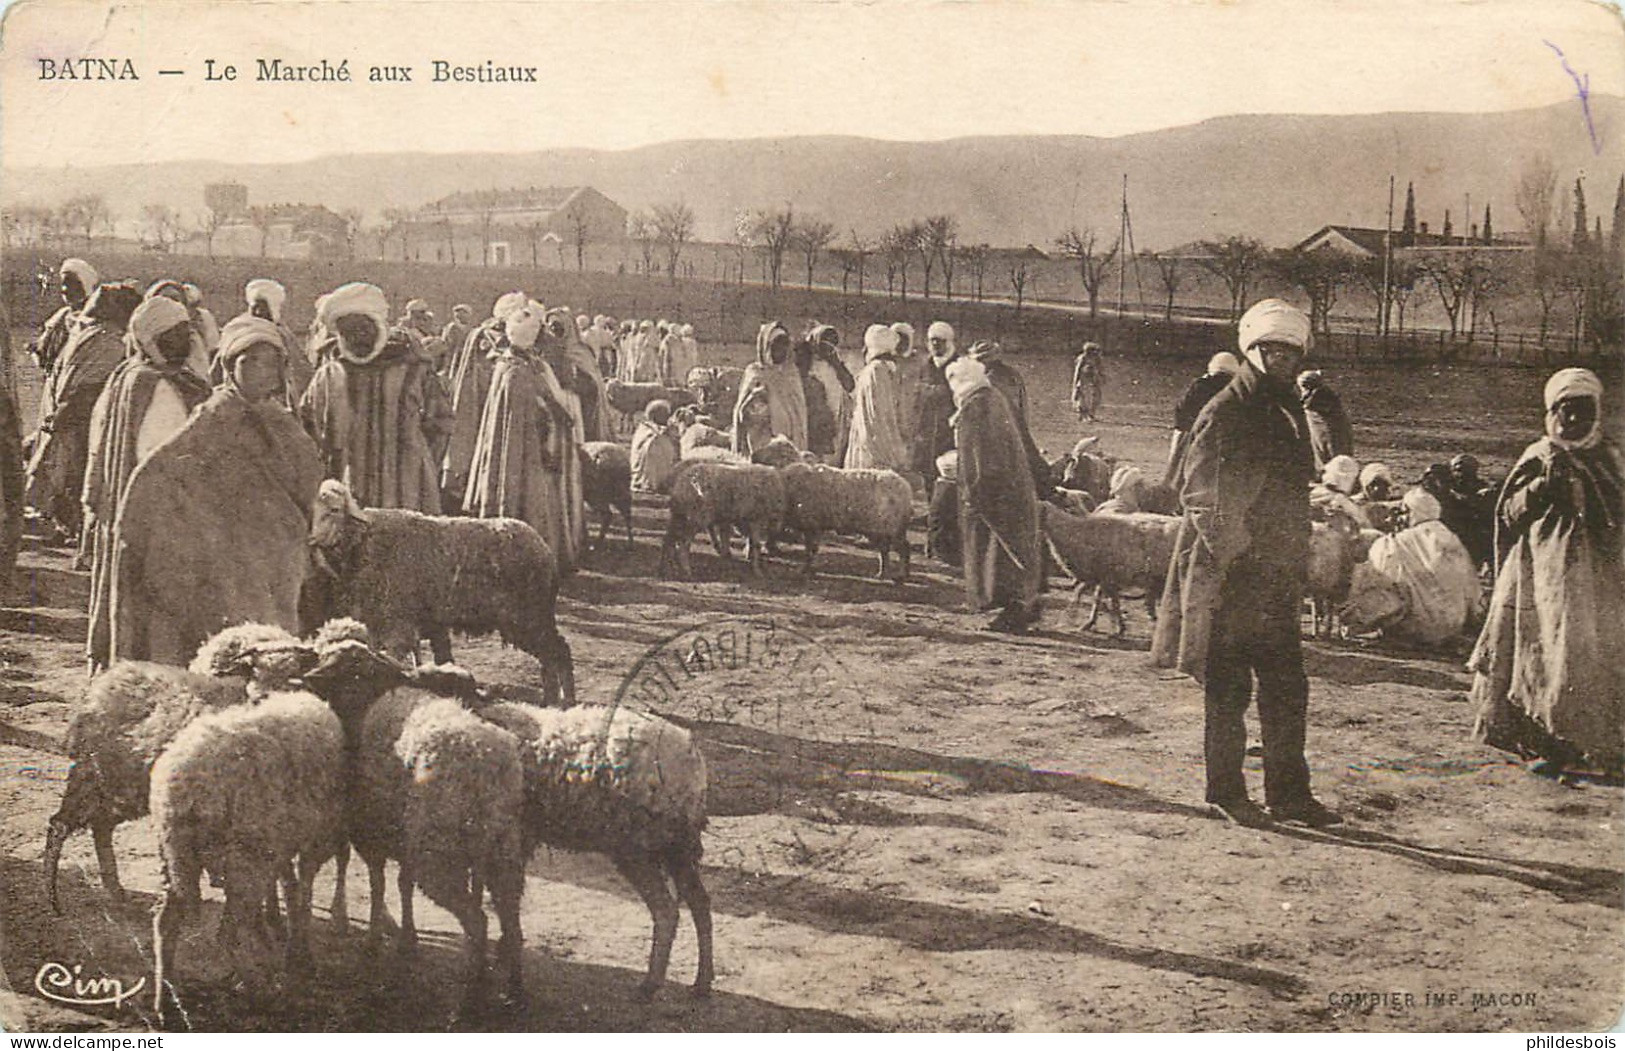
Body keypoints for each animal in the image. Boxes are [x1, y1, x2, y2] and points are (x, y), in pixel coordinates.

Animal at [150, 692, 346, 1026]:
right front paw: (298, 952)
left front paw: (277, 934)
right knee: (228, 933)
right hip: (242, 857)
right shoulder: (309, 842)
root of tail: (187, 786)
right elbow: (303, 891)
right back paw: (259, 990)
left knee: (166, 923)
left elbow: (288, 886)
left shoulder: (279, 844)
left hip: (174, 856)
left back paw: (166, 1000)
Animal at [310, 480, 578, 701]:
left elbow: (395, 656)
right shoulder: (384, 620)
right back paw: (554, 699)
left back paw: (562, 701)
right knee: (552, 654)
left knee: (558, 651)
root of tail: (546, 551)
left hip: (527, 616)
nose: (313, 541)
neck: (364, 540)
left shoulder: (398, 619)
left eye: (334, 510)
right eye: (315, 512)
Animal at [477, 701, 715, 1000]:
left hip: (636, 845)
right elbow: (506, 896)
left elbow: (505, 897)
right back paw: (702, 982)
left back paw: (651, 984)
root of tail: (690, 755)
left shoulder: (509, 836)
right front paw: (503, 950)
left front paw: (505, 952)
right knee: (699, 902)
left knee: (666, 909)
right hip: (676, 845)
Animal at [776, 464, 916, 584]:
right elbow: (809, 549)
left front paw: (806, 570)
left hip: (892, 527)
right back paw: (882, 574)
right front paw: (807, 570)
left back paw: (901, 576)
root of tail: (905, 486)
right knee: (885, 550)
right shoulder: (812, 526)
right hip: (881, 529)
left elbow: (811, 550)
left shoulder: (812, 524)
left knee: (904, 548)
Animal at [1040, 506, 1183, 636]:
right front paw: (1089, 623)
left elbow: (1112, 602)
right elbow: (1096, 599)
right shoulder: (1101, 577)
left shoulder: (1108, 576)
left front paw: (1119, 628)